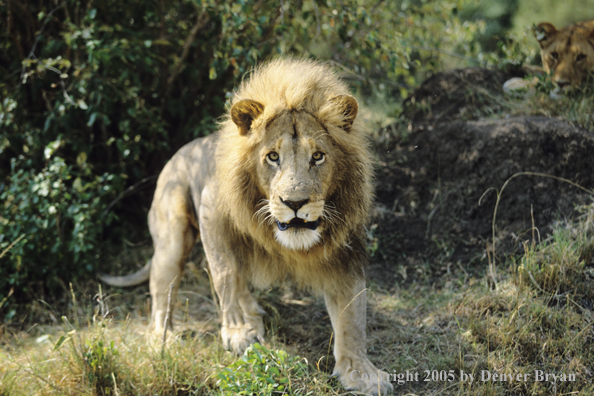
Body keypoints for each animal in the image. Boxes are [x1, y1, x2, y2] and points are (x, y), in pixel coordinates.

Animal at [99, 57, 390, 394]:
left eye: (318, 156)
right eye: (272, 157)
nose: (294, 203)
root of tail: (181, 151)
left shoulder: (347, 247)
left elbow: (353, 313)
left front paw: (361, 370)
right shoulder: (212, 209)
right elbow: (226, 275)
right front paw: (238, 331)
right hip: (171, 236)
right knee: (163, 289)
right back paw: (167, 339)